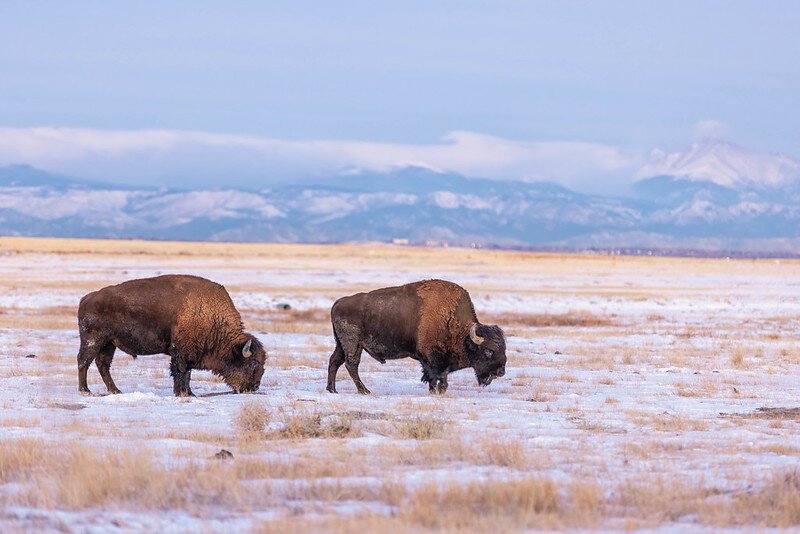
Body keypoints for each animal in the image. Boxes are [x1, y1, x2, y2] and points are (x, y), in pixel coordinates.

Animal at [76, 276, 268, 398]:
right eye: (253, 364)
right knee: (84, 361)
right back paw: (85, 390)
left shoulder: (189, 353)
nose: (254, 386)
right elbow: (181, 372)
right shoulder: (182, 353)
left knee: (103, 365)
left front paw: (189, 393)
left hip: (109, 344)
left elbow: (187, 373)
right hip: (93, 341)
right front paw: (183, 393)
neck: (212, 317)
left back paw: (115, 390)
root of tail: (87, 298)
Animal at [324, 278, 506, 396]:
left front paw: (435, 391)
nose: (501, 371)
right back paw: (364, 391)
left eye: (504, 349)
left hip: (340, 344)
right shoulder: (430, 358)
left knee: (335, 361)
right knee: (351, 365)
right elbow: (437, 375)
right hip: (353, 345)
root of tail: (338, 302)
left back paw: (332, 389)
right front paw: (438, 391)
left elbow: (436, 376)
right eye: (489, 351)